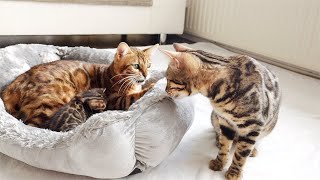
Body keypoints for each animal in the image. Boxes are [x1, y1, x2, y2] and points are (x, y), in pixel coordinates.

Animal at [0, 41, 158, 129]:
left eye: (149, 65)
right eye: (136, 66)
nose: (146, 75)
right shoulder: (114, 100)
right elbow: (133, 97)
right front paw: (154, 86)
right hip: (51, 102)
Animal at [161, 43, 282, 180]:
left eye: (168, 79)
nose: (165, 90)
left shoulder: (252, 126)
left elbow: (241, 154)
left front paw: (234, 172)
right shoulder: (225, 122)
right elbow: (225, 146)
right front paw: (219, 162)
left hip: (267, 128)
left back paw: (253, 149)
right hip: (214, 117)